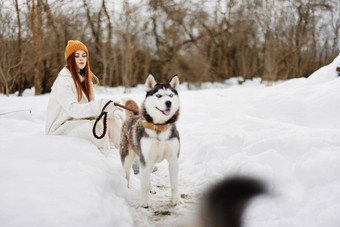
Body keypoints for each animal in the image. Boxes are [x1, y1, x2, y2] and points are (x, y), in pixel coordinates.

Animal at [120, 74, 182, 207]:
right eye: (158, 95)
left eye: (171, 95)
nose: (168, 103)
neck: (159, 127)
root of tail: (134, 115)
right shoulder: (146, 159)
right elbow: (142, 183)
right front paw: (144, 202)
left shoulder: (173, 159)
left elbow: (174, 183)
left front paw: (176, 200)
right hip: (128, 157)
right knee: (127, 174)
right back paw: (126, 187)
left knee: (147, 174)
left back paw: (150, 188)